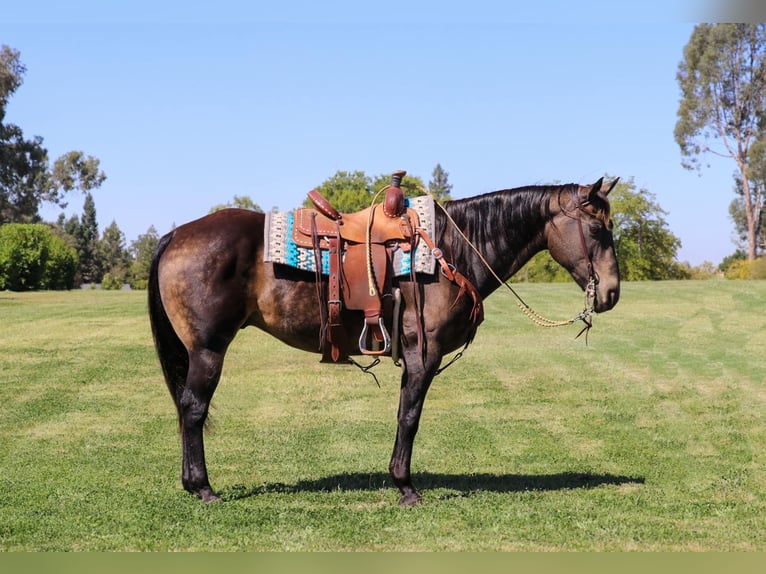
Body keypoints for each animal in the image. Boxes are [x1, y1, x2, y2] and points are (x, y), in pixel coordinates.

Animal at [148, 177, 621, 506]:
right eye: (599, 230)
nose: (612, 292)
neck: (450, 249)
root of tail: (177, 234)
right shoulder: (422, 355)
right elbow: (409, 418)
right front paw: (405, 486)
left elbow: (402, 416)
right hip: (208, 350)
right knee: (193, 409)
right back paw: (202, 487)